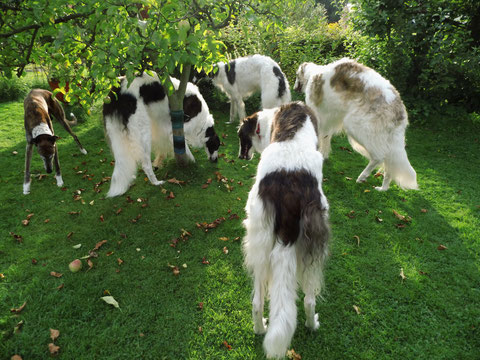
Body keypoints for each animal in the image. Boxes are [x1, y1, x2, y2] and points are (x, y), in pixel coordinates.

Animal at [244, 100, 330, 358]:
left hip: (260, 240)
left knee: (257, 302)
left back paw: (260, 329)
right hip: (313, 246)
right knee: (309, 301)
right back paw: (313, 325)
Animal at [294, 57, 418, 191]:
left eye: (296, 75)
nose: (294, 88)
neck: (313, 73)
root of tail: (399, 111)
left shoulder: (317, 115)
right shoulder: (327, 122)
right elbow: (325, 140)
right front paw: (323, 156)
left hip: (356, 127)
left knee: (379, 157)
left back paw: (362, 176)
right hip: (390, 142)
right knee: (389, 165)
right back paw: (383, 188)